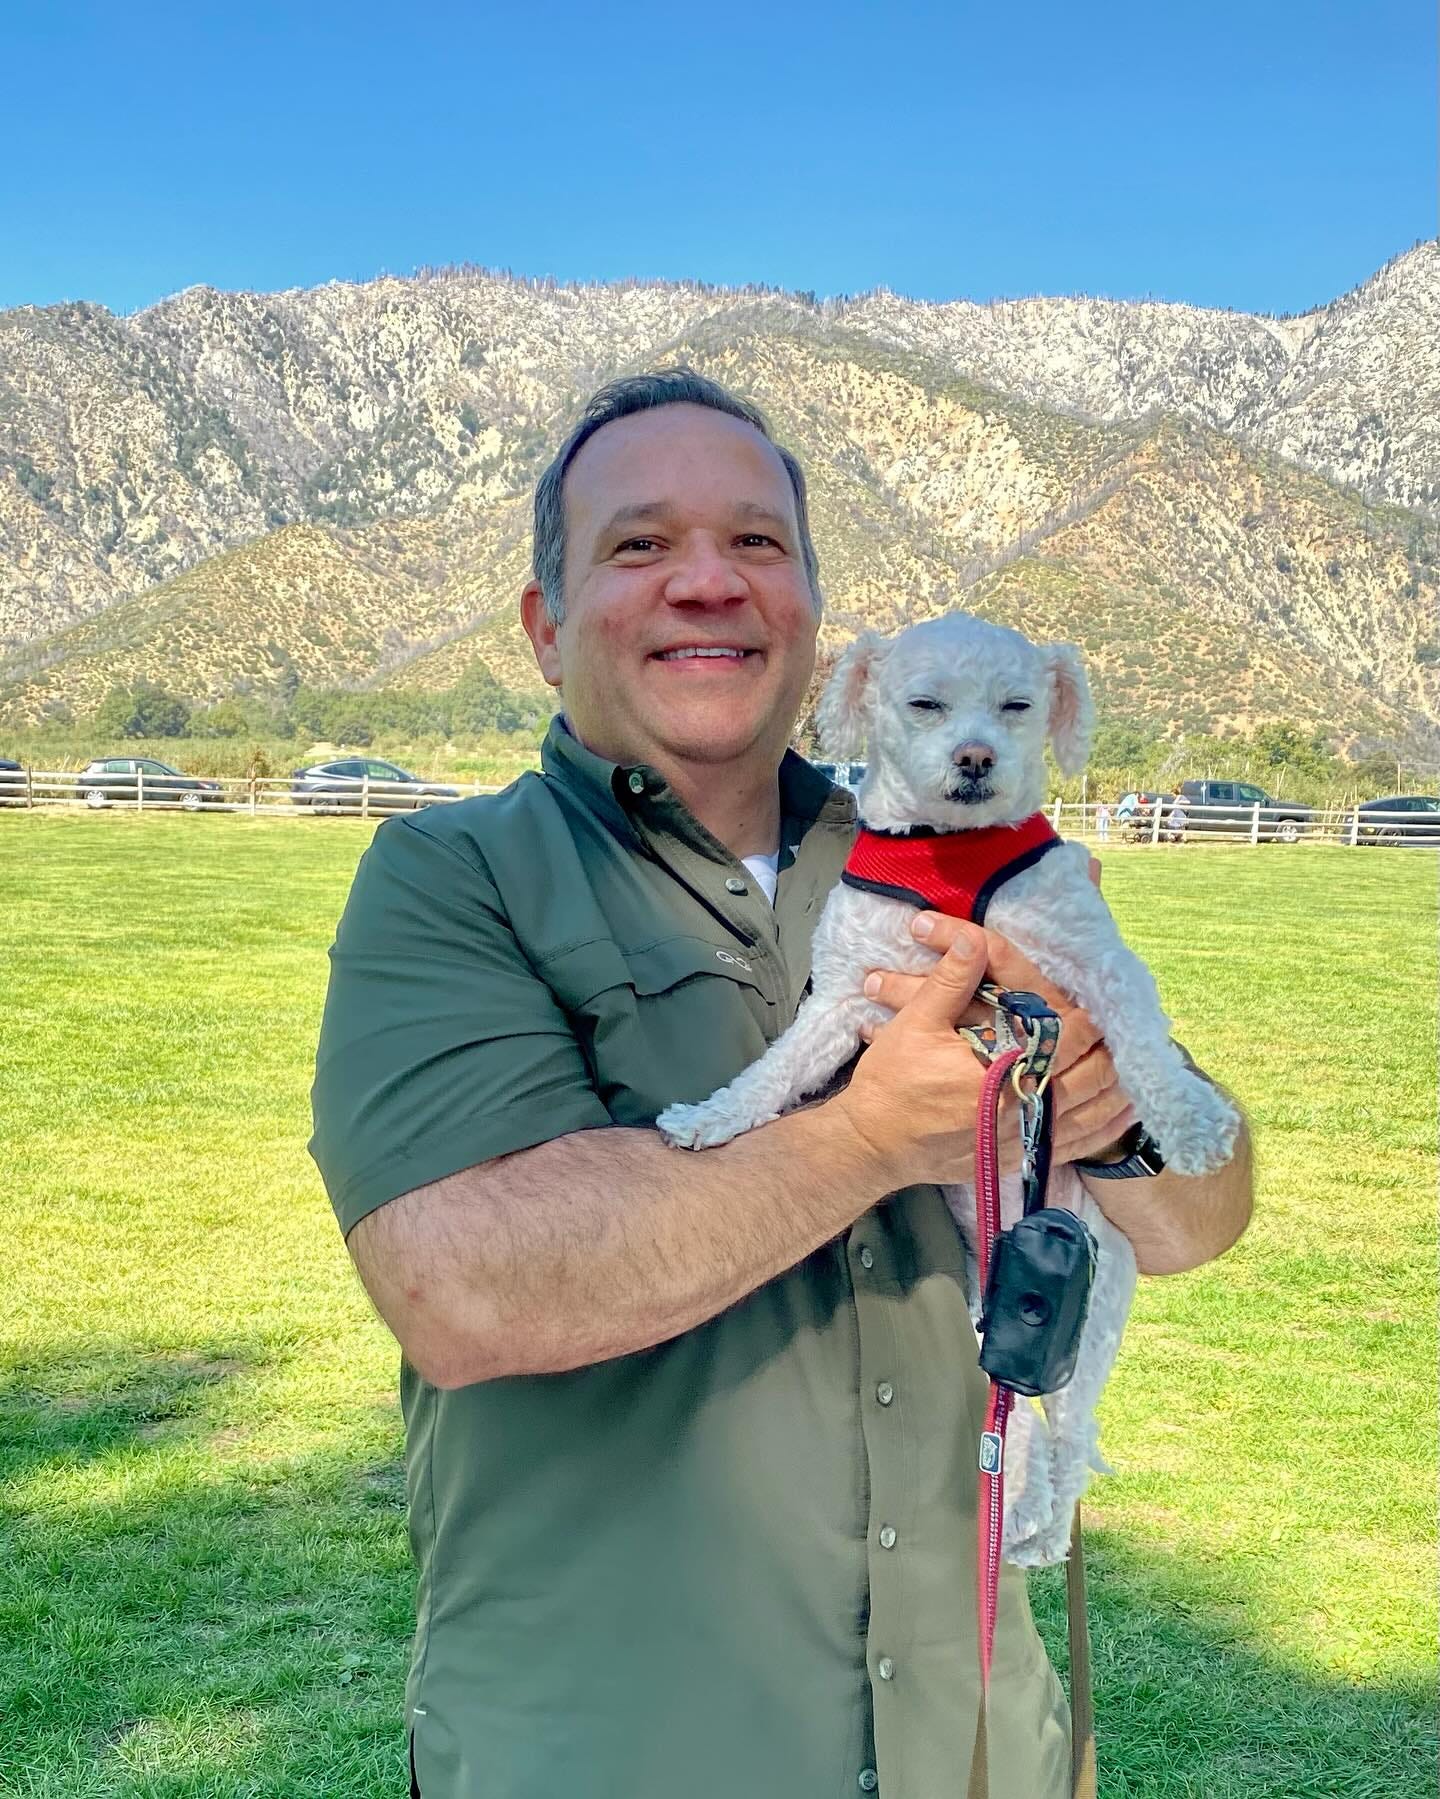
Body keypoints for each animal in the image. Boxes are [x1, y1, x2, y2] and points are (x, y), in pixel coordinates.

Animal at [662, 611, 1238, 1568]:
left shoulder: (1090, 959)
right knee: (1025, 1423)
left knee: (1072, 1436)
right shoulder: (848, 992)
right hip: (998, 1314)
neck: (947, 855)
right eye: (924, 703)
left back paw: (1039, 1534)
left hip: (1093, 1308)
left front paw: (1192, 1122)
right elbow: (774, 1069)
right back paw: (1019, 1522)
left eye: (1018, 706)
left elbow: (1143, 1038)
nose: (976, 758)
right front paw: (709, 1117)